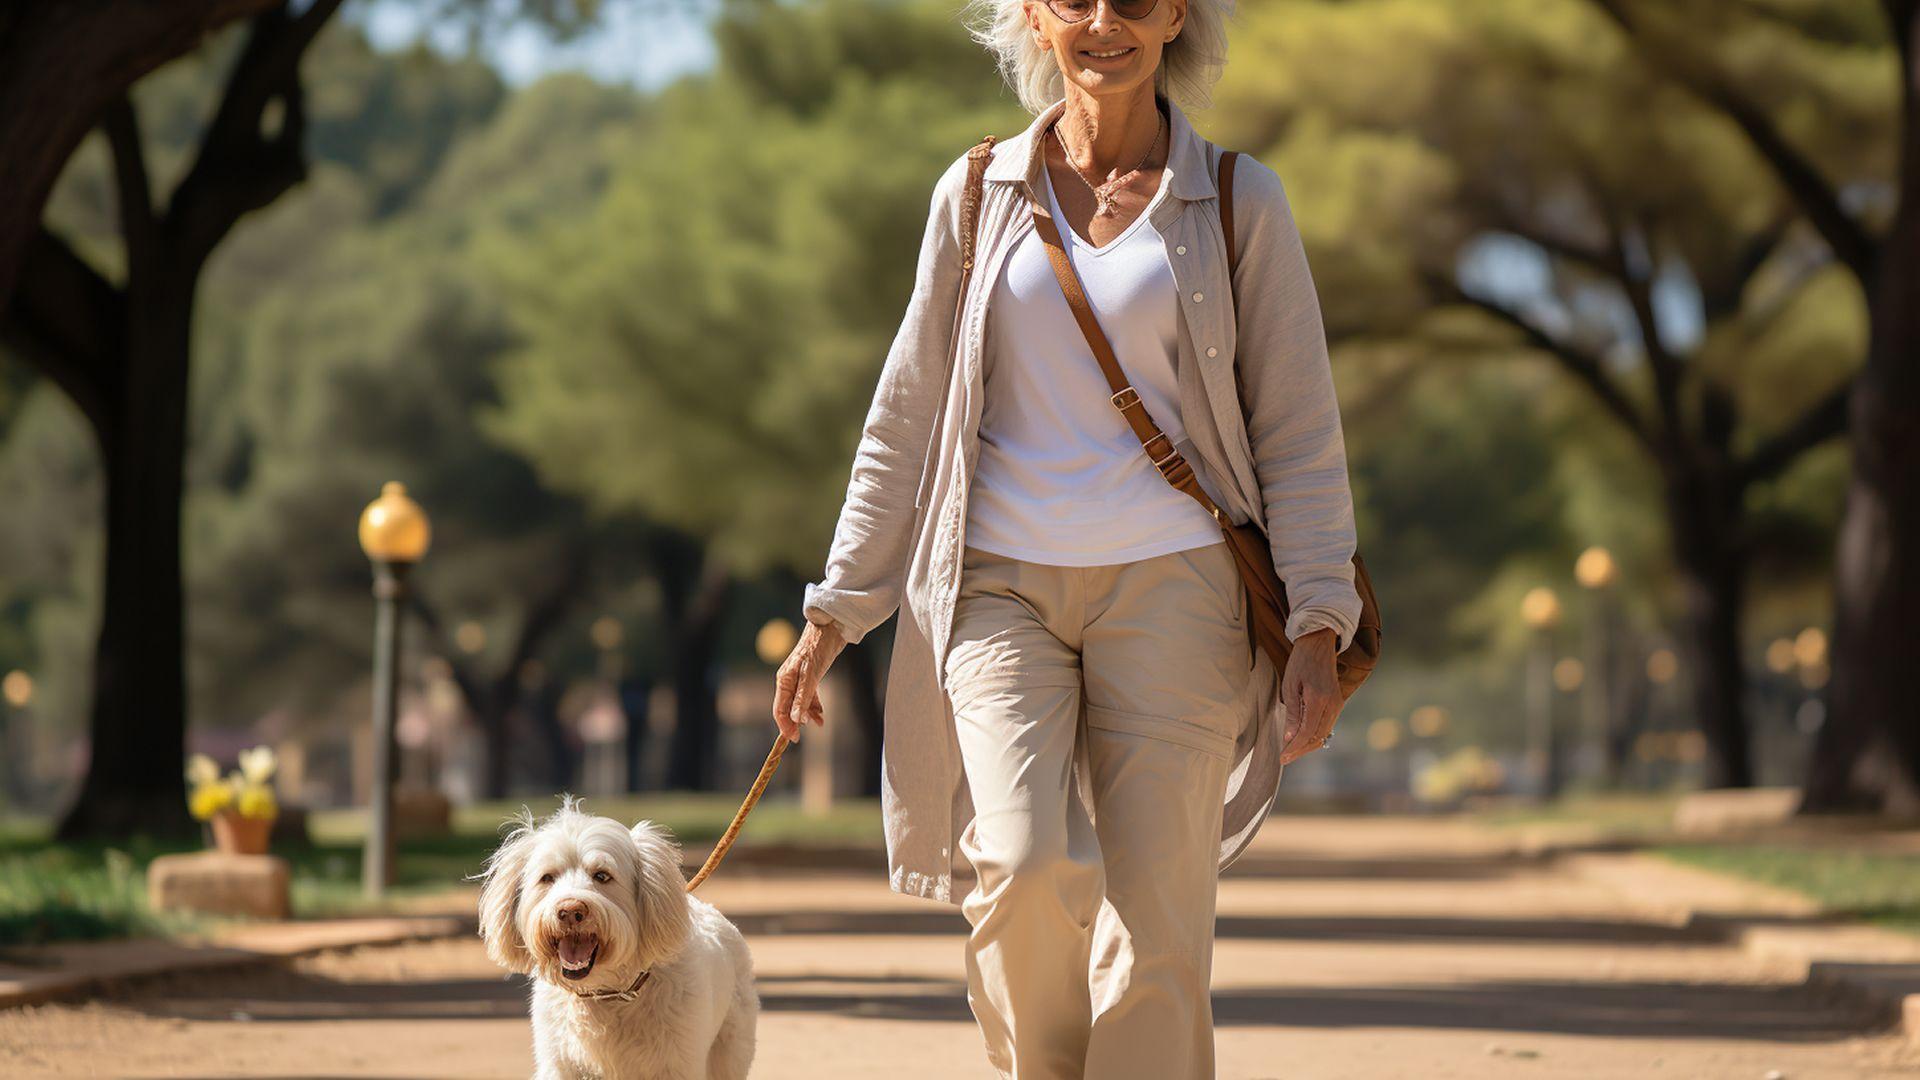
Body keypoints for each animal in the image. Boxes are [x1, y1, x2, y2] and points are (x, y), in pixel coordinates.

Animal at [472, 791, 756, 1076]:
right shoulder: (560, 1064)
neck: (606, 993)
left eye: (602, 876)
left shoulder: (676, 1065)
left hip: (731, 1049)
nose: (570, 911)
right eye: (547, 877)